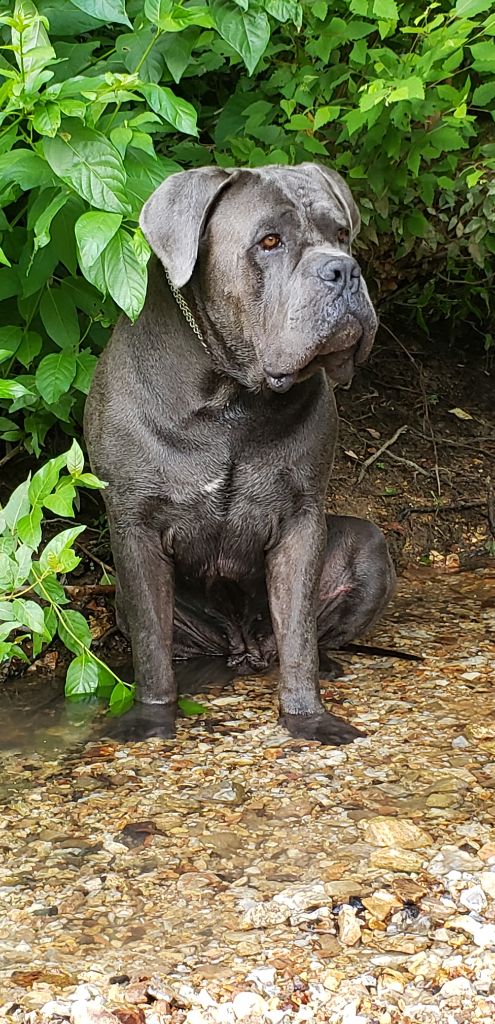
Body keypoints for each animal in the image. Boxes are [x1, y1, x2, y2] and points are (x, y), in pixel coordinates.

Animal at [84, 159, 395, 745]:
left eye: (342, 234)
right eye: (269, 241)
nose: (343, 270)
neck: (233, 394)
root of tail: (244, 647)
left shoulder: (300, 520)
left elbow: (297, 633)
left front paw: (307, 717)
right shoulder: (134, 526)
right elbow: (151, 645)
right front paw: (151, 717)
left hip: (368, 545)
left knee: (303, 635)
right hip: (126, 597)